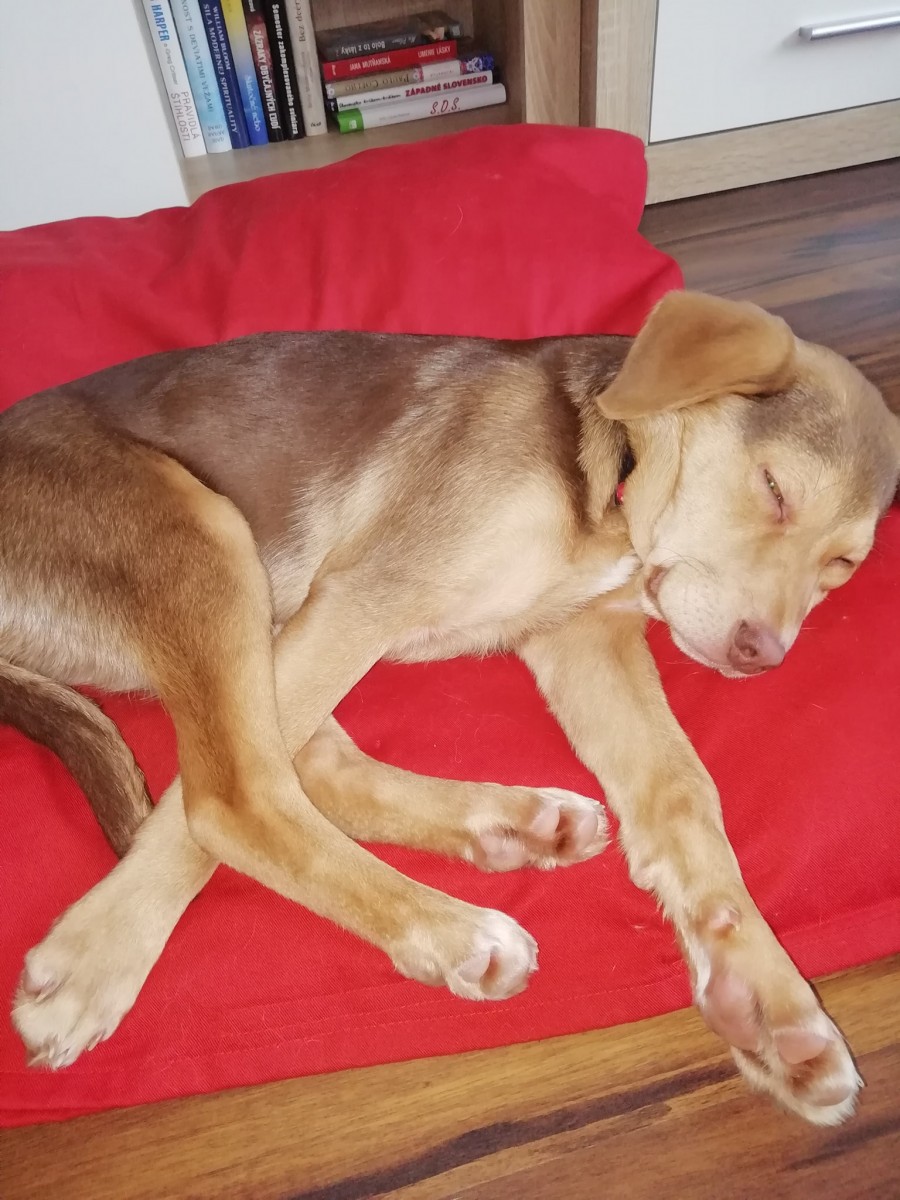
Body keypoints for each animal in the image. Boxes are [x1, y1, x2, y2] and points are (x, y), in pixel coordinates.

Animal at [5, 292, 899, 1125]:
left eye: (841, 567)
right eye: (774, 489)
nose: (762, 654)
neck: (612, 473)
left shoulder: (582, 640)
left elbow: (684, 797)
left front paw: (767, 1000)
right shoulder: (366, 594)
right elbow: (215, 807)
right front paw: (88, 958)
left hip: (257, 610)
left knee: (297, 765)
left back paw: (513, 824)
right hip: (209, 541)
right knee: (233, 795)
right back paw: (447, 932)